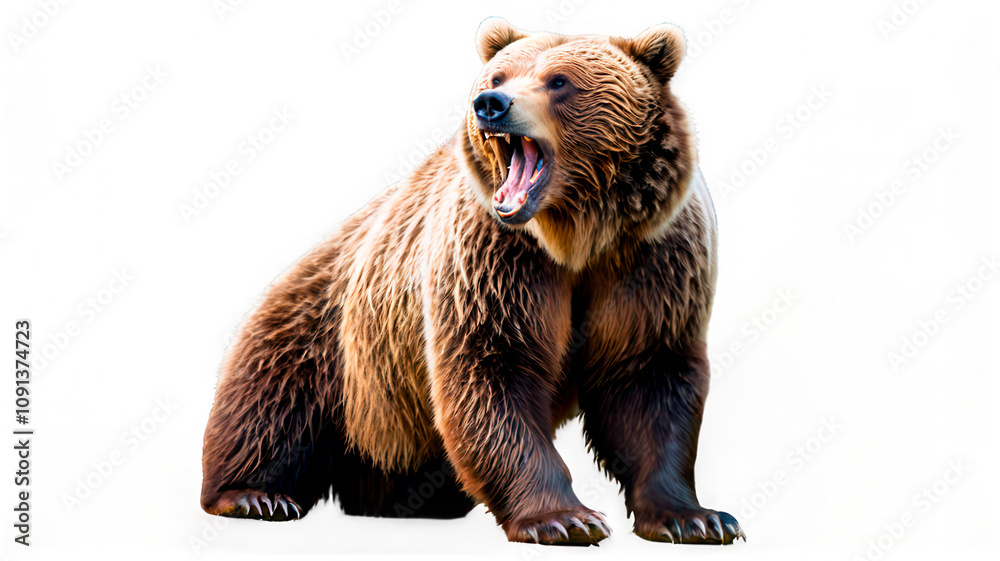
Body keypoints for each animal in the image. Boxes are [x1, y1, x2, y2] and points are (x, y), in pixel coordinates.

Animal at [200, 17, 745, 546]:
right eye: (497, 76)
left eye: (559, 81)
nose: (490, 105)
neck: (575, 238)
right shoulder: (494, 259)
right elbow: (492, 371)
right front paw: (562, 519)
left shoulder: (651, 260)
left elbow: (649, 379)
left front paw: (695, 519)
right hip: (328, 339)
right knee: (271, 405)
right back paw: (253, 495)